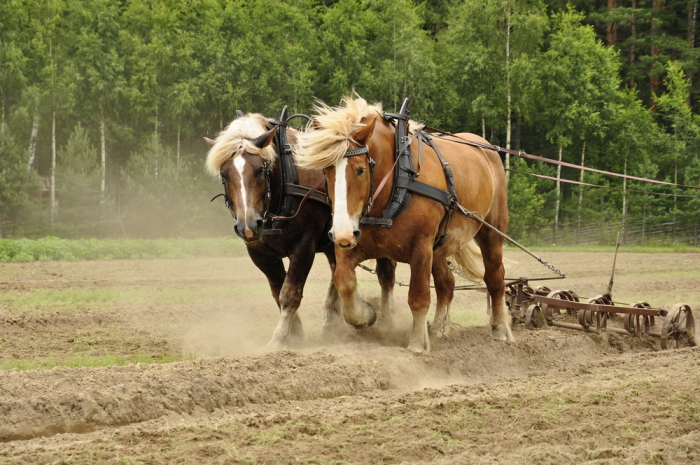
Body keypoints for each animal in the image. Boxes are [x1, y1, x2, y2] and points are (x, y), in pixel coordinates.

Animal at [205, 110, 396, 346]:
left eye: (259, 170)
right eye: (224, 175)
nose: (248, 226)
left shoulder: (304, 246)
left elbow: (290, 293)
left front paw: (279, 339)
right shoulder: (260, 253)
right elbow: (278, 292)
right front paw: (296, 334)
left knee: (386, 275)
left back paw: (386, 321)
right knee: (337, 271)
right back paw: (332, 322)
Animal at [296, 97, 516, 352]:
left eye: (360, 170)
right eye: (326, 171)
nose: (341, 233)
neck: (397, 182)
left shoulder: (420, 248)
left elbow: (418, 297)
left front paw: (418, 343)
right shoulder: (354, 243)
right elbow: (344, 283)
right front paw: (367, 315)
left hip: (491, 232)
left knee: (495, 277)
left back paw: (500, 330)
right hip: (439, 246)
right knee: (447, 283)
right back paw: (439, 329)